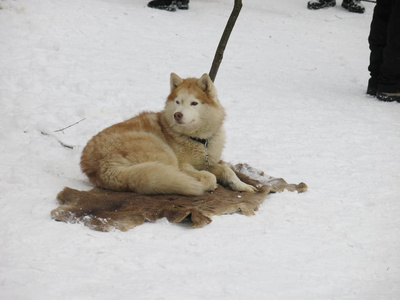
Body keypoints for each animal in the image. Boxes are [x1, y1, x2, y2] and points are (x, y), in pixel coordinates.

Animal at [80, 72, 256, 195]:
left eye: (194, 103)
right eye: (178, 102)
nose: (177, 115)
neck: (198, 139)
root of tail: (101, 166)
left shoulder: (207, 162)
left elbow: (228, 170)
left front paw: (243, 185)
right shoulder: (185, 165)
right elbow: (209, 175)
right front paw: (207, 181)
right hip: (165, 153)